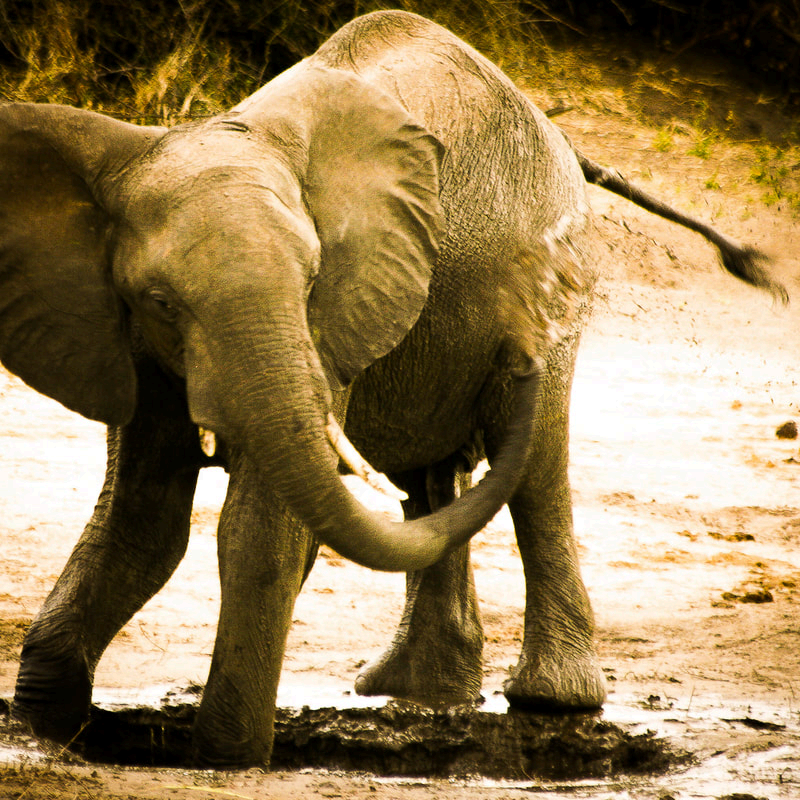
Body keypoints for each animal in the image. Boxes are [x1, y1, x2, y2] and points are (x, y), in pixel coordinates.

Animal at [0, 10, 784, 768]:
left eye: (311, 280)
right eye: (160, 301)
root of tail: (556, 131)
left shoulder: (332, 320)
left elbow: (260, 529)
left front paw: (223, 757)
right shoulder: (123, 335)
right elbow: (143, 519)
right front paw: (50, 722)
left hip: (561, 293)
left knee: (534, 468)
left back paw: (549, 701)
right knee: (430, 486)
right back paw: (412, 690)